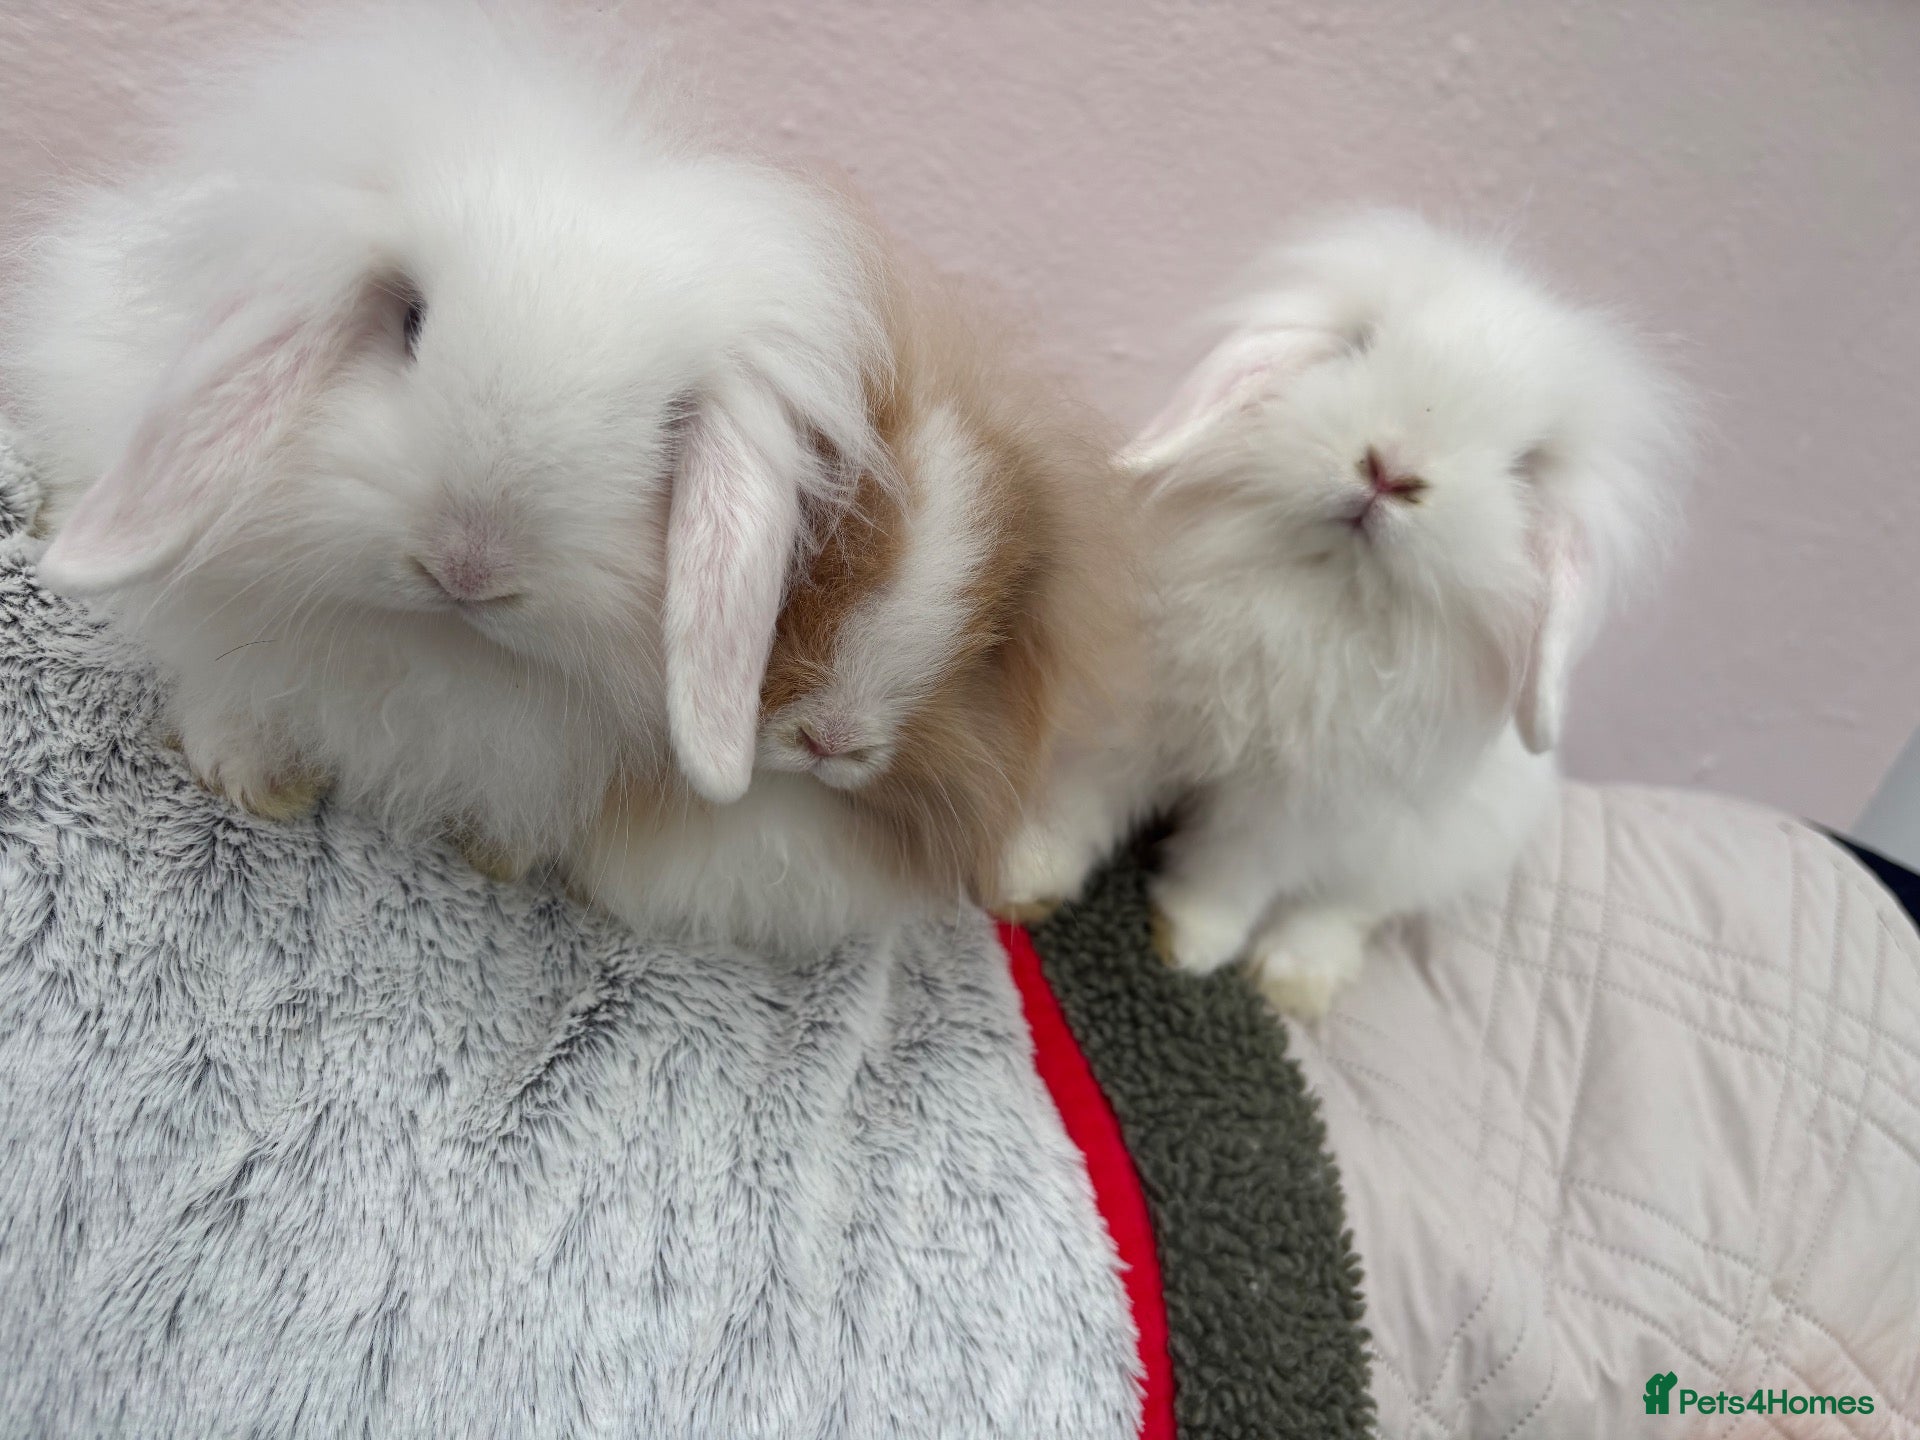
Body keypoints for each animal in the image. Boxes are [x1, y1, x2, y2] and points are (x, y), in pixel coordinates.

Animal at [3, 3, 889, 873]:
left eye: (668, 422)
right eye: (412, 321)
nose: (469, 569)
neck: (425, 648)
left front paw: (501, 855)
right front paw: (247, 779)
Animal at [1000, 210, 1686, 1015]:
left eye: (1526, 465)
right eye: (1358, 345)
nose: (1389, 470)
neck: (1320, 586)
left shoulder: (1291, 806)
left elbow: (1229, 875)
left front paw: (1191, 948)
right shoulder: (1125, 721)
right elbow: (1080, 806)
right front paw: (1022, 879)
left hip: (1431, 848)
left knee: (1350, 908)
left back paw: (1295, 978)